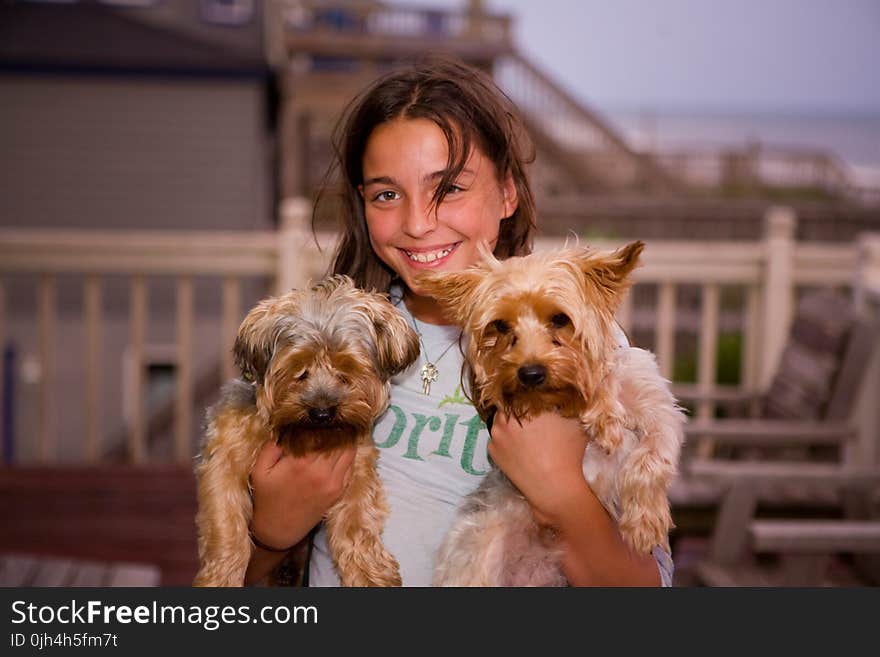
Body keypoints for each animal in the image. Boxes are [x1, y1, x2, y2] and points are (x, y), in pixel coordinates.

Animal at [194, 274, 422, 588]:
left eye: (346, 372)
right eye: (299, 371)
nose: (322, 412)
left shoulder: (356, 467)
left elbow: (356, 521)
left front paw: (370, 575)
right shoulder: (225, 459)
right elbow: (226, 524)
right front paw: (220, 579)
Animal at [416, 241, 684, 584]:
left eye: (560, 319)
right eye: (501, 326)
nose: (530, 373)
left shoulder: (659, 411)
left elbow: (651, 462)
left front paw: (644, 525)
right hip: (475, 550)